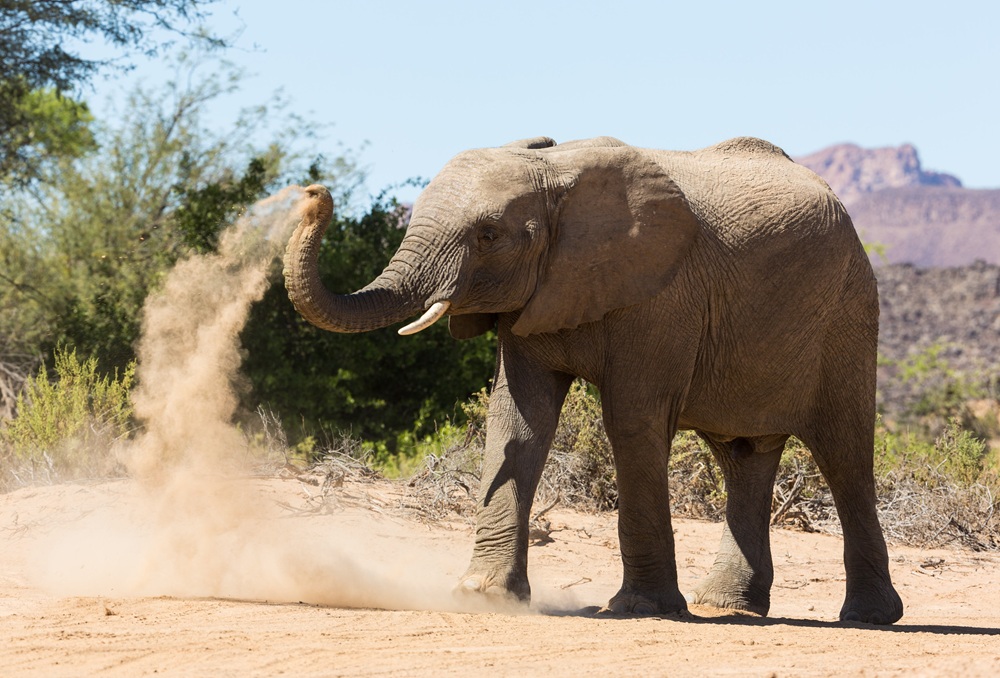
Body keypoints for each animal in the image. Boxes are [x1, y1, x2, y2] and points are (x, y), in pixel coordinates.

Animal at [282, 135, 904, 624]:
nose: (313, 194)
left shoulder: (660, 296)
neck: (556, 173)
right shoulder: (538, 295)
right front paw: (482, 597)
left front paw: (642, 609)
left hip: (848, 312)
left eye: (488, 236)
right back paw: (729, 607)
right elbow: (517, 421)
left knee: (844, 455)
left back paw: (868, 617)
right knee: (743, 454)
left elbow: (630, 421)